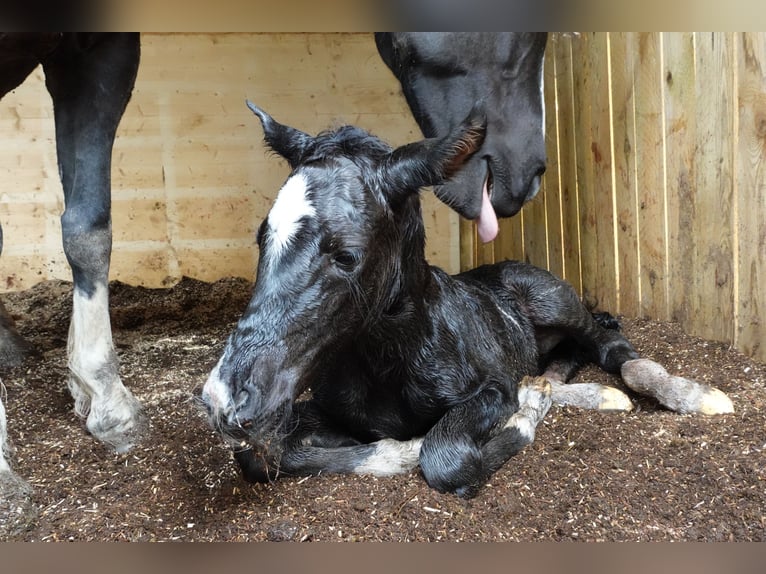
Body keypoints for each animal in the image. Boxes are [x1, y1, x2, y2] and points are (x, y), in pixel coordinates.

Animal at [200, 103, 733, 498]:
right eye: (261, 237)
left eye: (347, 254)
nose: (223, 398)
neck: (386, 360)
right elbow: (262, 456)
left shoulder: (489, 389)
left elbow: (445, 457)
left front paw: (514, 421)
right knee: (555, 368)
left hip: (556, 301)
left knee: (609, 346)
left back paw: (692, 395)